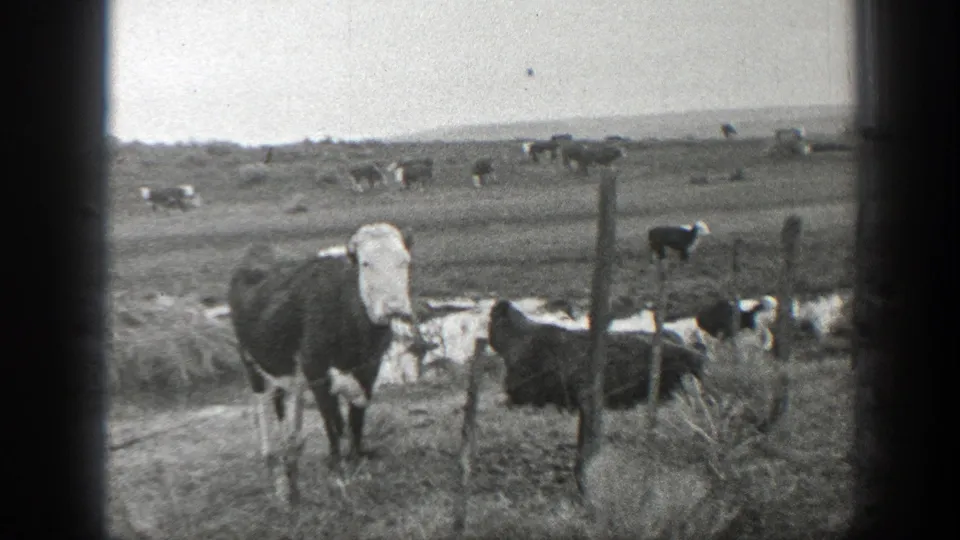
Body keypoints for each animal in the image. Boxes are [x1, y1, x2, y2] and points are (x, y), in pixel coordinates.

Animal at [227, 222, 416, 506]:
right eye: (366, 264)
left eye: (404, 261)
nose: (395, 308)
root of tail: (259, 249)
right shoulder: (317, 372)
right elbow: (334, 424)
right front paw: (339, 475)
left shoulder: (368, 369)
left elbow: (356, 420)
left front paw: (358, 465)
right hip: (250, 360)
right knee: (263, 405)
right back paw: (273, 467)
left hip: (285, 366)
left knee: (285, 402)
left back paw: (293, 449)